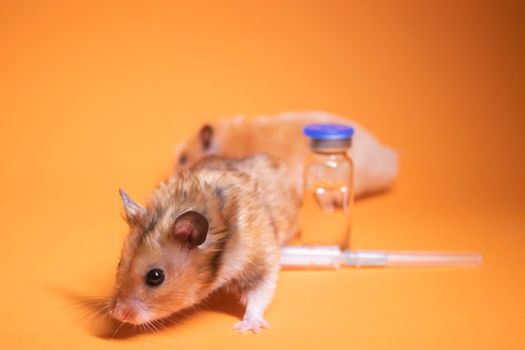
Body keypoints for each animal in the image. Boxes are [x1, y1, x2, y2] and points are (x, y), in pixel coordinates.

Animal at [108, 154, 298, 334]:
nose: (118, 314)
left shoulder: (258, 260)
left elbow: (258, 294)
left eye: (155, 276)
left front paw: (246, 328)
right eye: (119, 263)